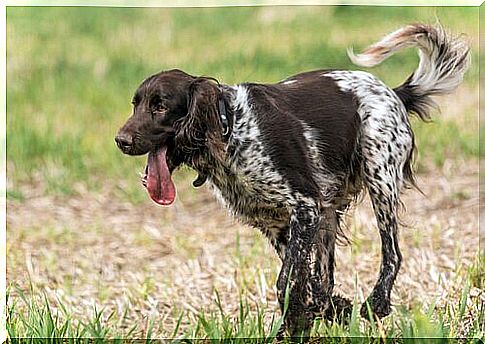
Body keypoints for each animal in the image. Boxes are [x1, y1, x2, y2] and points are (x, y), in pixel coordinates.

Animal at [114, 24, 468, 336]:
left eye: (160, 106)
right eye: (135, 104)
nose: (121, 140)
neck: (230, 127)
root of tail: (392, 92)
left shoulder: (305, 207)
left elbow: (287, 282)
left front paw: (298, 323)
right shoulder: (281, 223)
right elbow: (305, 282)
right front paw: (319, 314)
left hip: (379, 178)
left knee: (392, 253)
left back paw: (376, 303)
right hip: (330, 213)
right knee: (326, 276)